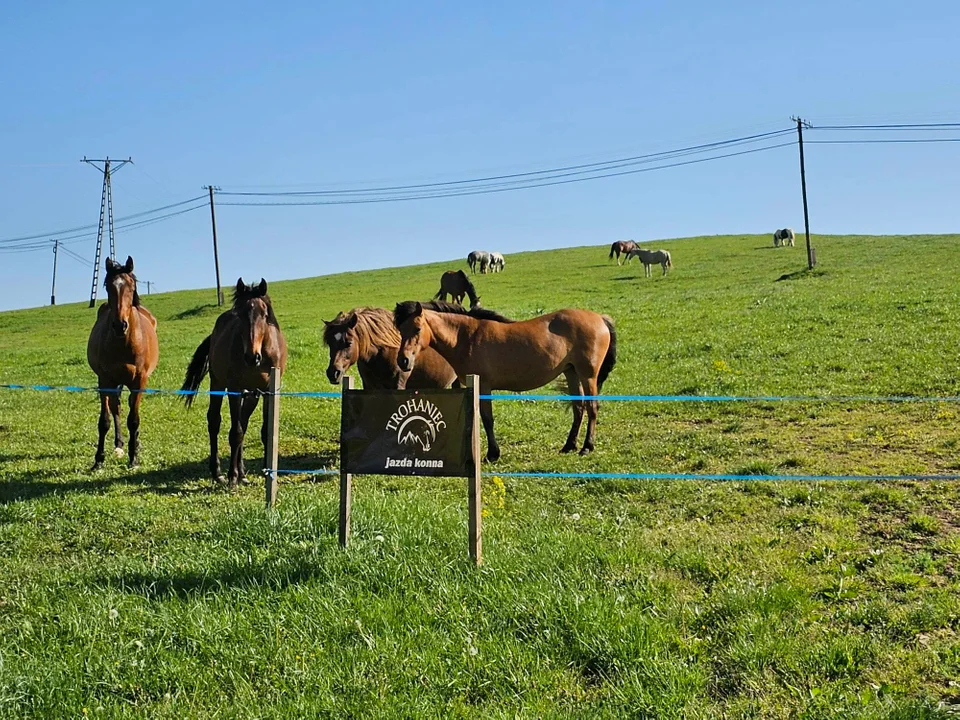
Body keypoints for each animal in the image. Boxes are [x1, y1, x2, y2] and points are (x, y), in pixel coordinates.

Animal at [88, 256, 161, 470]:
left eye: (131, 285)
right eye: (107, 286)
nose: (120, 325)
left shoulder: (139, 381)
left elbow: (134, 420)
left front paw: (133, 457)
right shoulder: (105, 380)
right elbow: (104, 420)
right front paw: (99, 460)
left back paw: (134, 444)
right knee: (116, 408)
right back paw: (119, 444)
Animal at [179, 278, 284, 490]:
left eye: (264, 315)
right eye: (240, 315)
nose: (252, 357)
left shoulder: (268, 392)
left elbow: (264, 431)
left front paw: (265, 471)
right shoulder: (234, 389)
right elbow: (235, 433)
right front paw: (232, 477)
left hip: (251, 394)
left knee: (243, 421)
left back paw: (242, 472)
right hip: (218, 383)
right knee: (214, 421)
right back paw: (219, 472)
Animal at [394, 300, 620, 462]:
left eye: (416, 329)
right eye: (400, 330)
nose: (403, 361)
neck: (465, 337)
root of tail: (600, 318)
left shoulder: (484, 386)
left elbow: (487, 420)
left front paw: (492, 454)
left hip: (587, 375)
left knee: (592, 407)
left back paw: (587, 447)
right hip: (571, 373)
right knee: (578, 408)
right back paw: (569, 446)